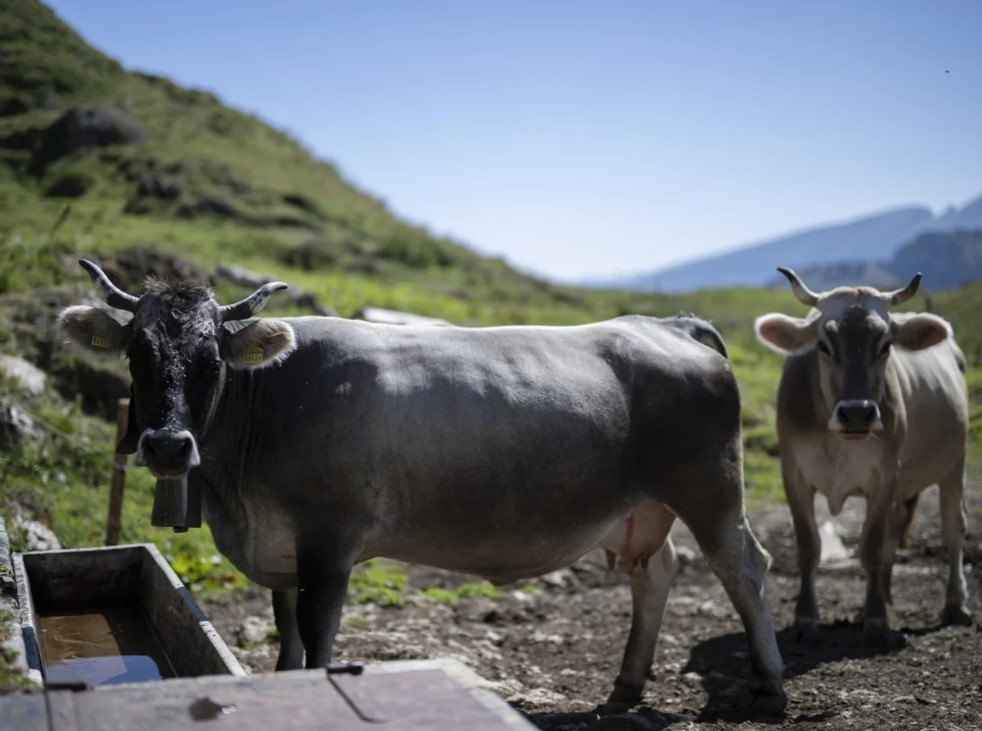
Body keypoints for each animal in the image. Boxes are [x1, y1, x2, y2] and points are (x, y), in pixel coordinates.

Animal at [60, 259, 786, 715]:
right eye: (137, 354)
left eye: (212, 360)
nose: (166, 444)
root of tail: (668, 324)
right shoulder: (281, 547)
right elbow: (287, 636)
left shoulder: (329, 543)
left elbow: (317, 635)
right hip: (642, 505)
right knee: (654, 571)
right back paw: (627, 685)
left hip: (710, 487)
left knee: (745, 566)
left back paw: (770, 685)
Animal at [754, 268, 971, 642]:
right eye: (823, 345)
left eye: (885, 346)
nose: (857, 413)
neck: (838, 441)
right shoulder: (793, 473)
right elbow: (809, 547)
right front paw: (805, 619)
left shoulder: (885, 475)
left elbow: (871, 548)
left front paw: (876, 619)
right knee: (895, 531)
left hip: (953, 463)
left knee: (952, 528)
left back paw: (955, 603)